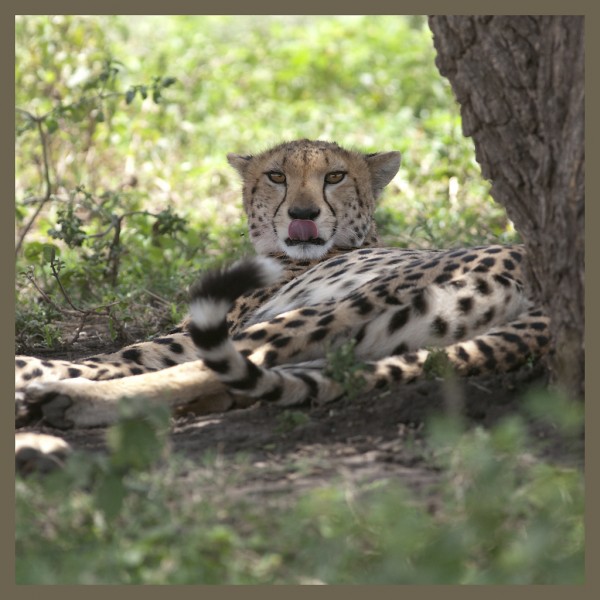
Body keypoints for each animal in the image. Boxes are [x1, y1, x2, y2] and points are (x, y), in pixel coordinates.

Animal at [15, 139, 548, 468]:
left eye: (335, 176)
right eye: (276, 176)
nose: (303, 213)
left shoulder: (198, 330)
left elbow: (111, 357)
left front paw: (40, 373)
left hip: (334, 308)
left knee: (225, 364)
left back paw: (65, 399)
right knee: (249, 380)